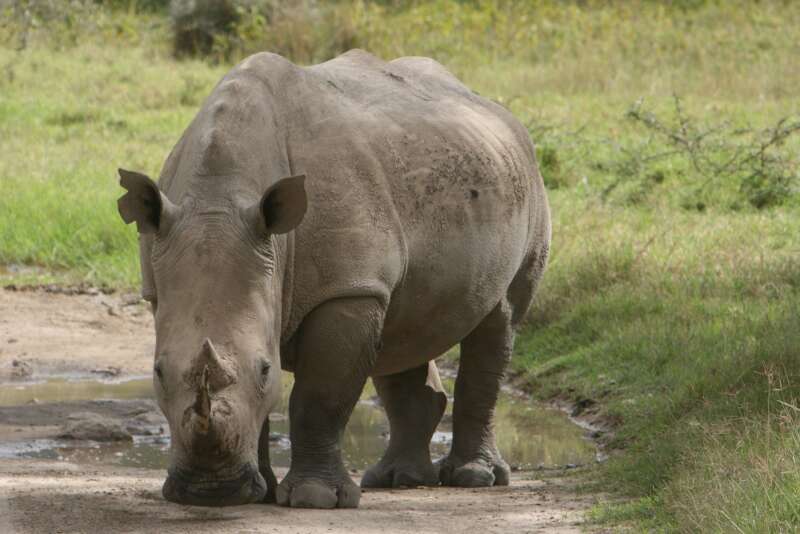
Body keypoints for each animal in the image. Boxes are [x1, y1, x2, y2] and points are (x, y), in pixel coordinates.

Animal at [117, 49, 550, 509]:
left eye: (266, 370)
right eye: (157, 372)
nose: (210, 492)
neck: (219, 199)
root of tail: (493, 107)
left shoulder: (346, 290)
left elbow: (319, 397)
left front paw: (313, 498)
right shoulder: (163, 287)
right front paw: (256, 493)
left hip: (524, 186)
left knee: (499, 319)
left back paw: (473, 477)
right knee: (402, 330)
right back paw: (396, 478)